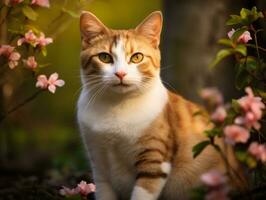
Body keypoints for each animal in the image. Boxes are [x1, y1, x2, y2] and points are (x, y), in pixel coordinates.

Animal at [77, 10, 243, 200]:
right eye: (104, 57)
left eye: (137, 57)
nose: (120, 73)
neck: (116, 106)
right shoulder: (99, 166)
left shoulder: (155, 160)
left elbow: (142, 192)